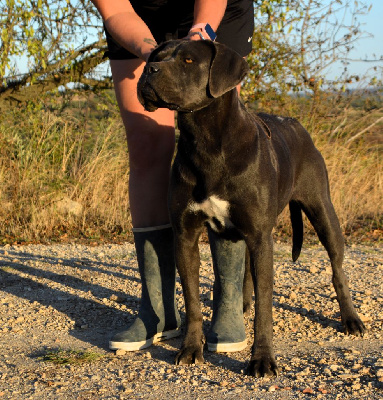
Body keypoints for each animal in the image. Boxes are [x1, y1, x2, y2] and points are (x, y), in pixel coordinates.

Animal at [137, 39, 366, 376]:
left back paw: (351, 318)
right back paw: (241, 303)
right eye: (156, 57)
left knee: (337, 268)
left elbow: (265, 308)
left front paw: (262, 358)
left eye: (188, 60)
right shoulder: (186, 235)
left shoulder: (261, 237)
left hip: (323, 212)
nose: (149, 70)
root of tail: (295, 123)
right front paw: (191, 348)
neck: (206, 141)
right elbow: (192, 301)